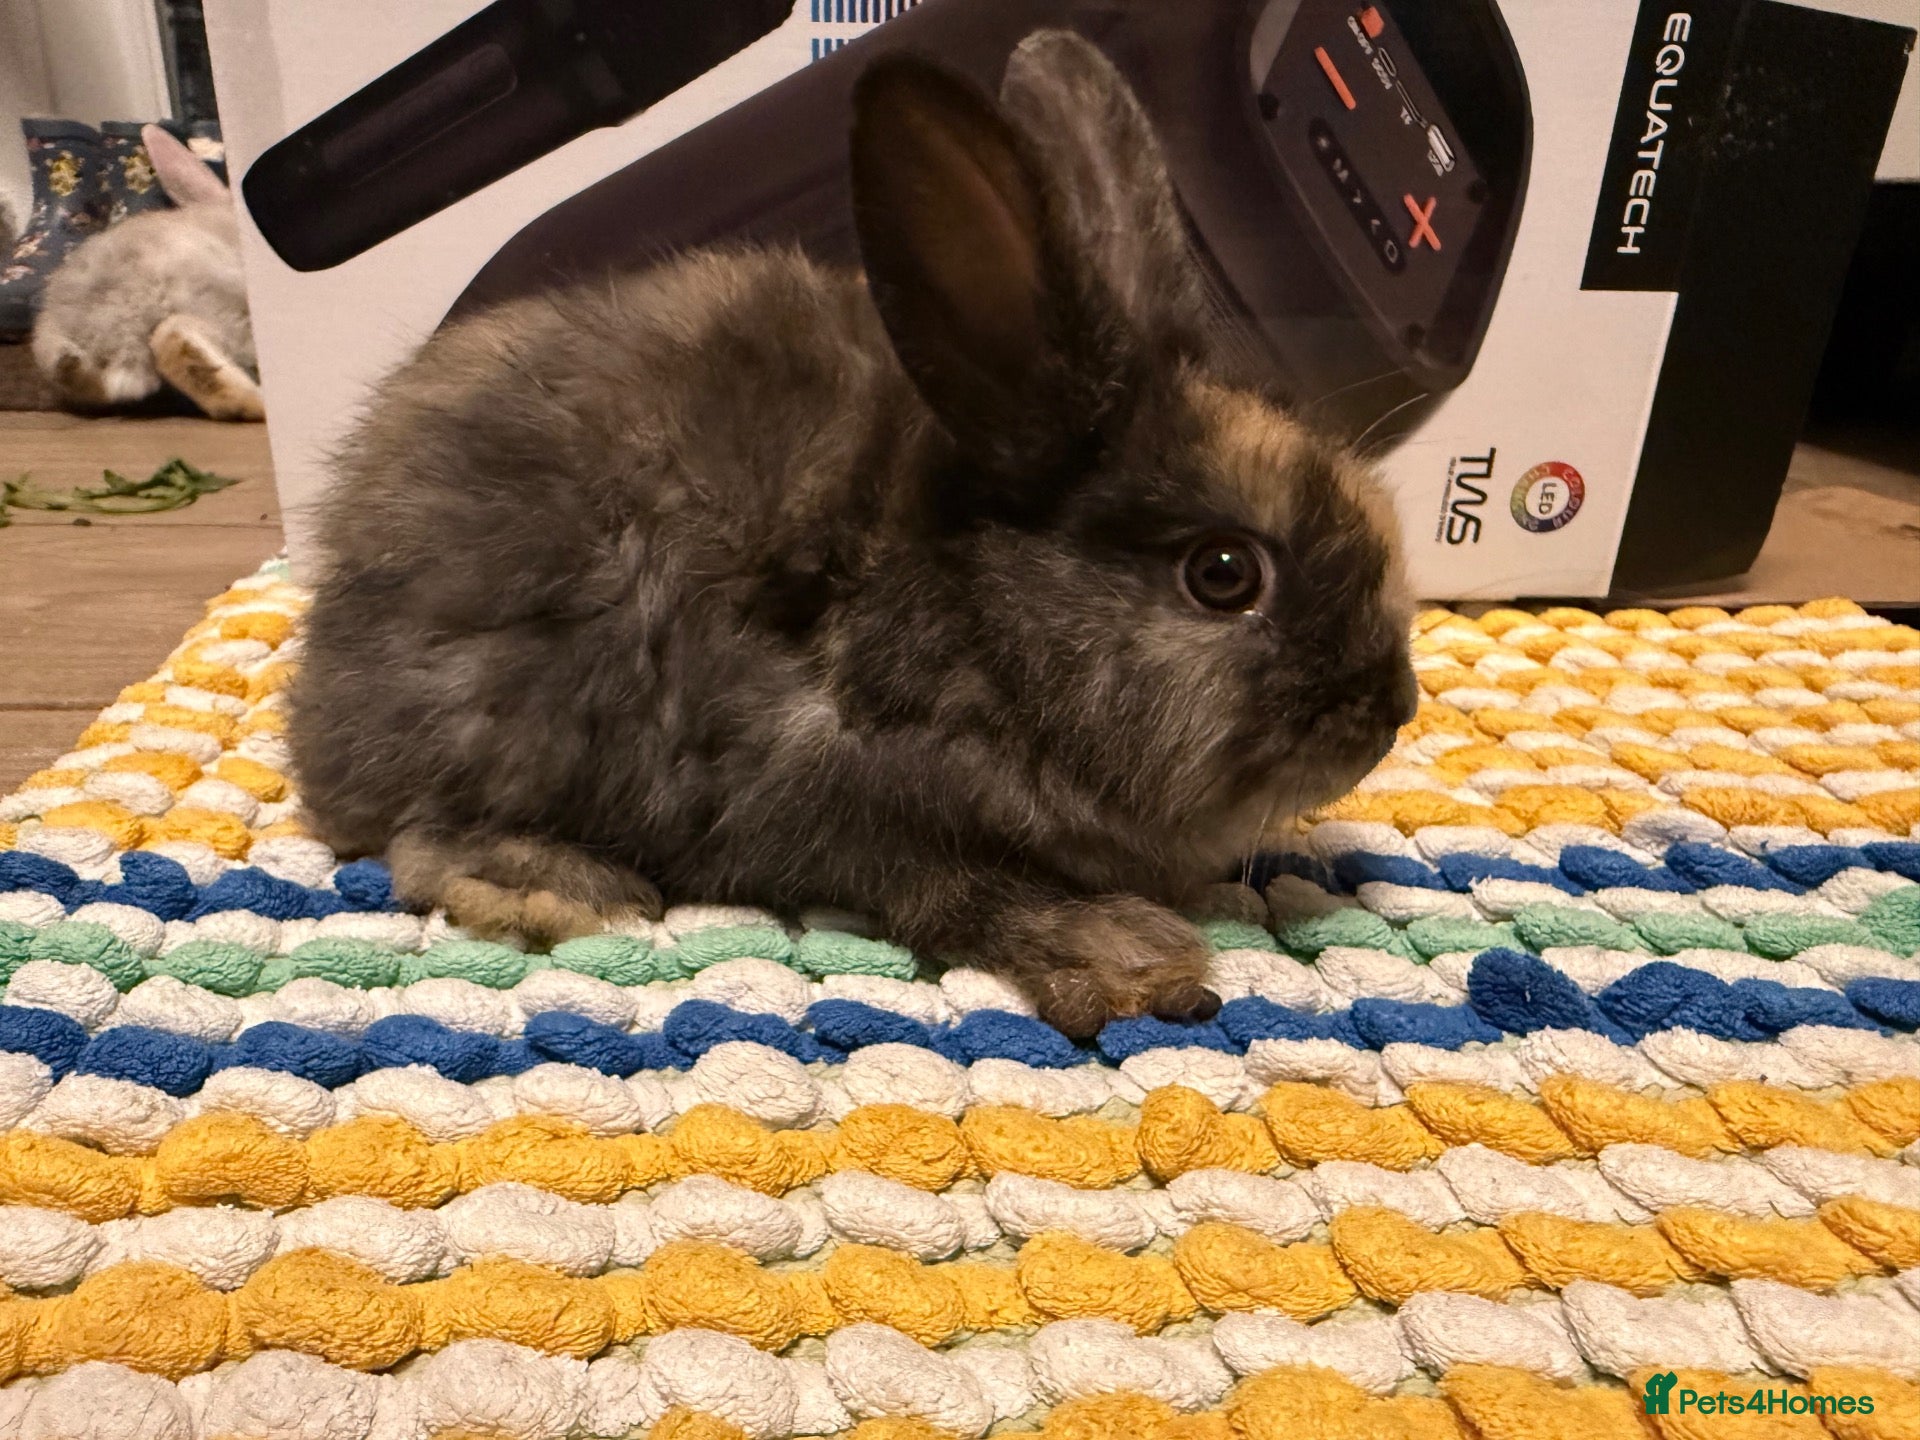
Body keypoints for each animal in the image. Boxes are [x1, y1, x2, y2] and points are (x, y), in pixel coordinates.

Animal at [288, 30, 1417, 1038]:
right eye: (1224, 574)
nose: (1391, 710)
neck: (981, 623)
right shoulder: (839, 796)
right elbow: (960, 892)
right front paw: (1132, 961)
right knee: (414, 837)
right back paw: (554, 885)